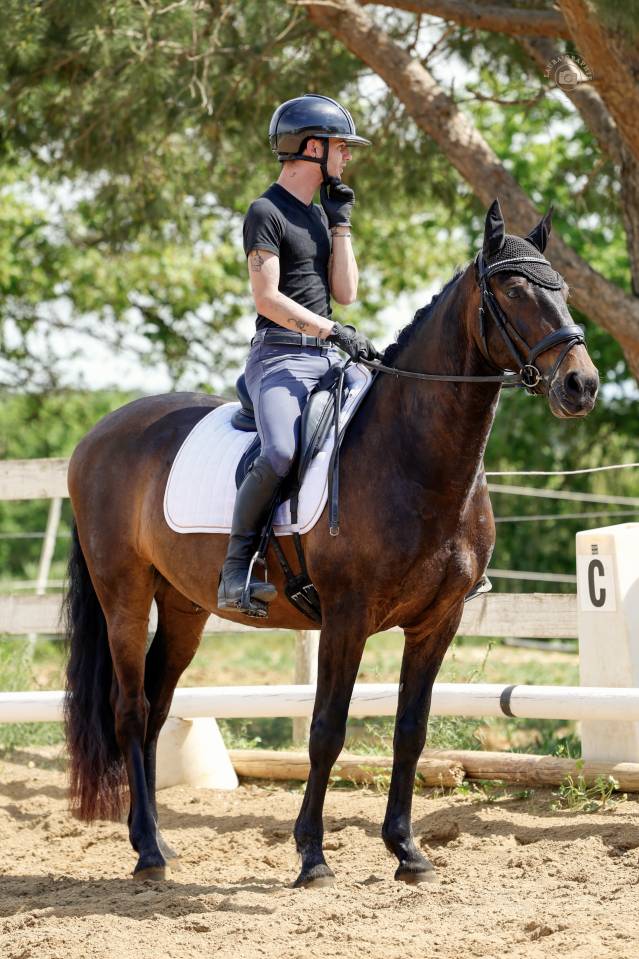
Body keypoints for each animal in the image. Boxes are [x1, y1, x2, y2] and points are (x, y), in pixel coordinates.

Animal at [64, 200, 598, 886]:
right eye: (512, 289)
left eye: (562, 290)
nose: (581, 385)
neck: (411, 457)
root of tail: (98, 434)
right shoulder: (346, 617)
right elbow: (326, 730)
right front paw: (312, 856)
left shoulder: (438, 621)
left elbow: (410, 731)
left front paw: (407, 851)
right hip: (124, 594)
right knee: (130, 709)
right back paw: (151, 854)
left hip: (184, 607)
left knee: (157, 708)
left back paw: (152, 840)